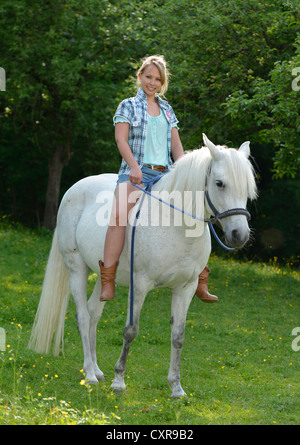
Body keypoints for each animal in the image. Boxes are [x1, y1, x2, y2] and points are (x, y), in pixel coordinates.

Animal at [28, 134, 258, 398]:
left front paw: (176, 387)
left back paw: (96, 370)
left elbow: (178, 336)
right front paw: (119, 381)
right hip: (77, 268)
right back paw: (90, 375)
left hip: (103, 276)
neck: (176, 225)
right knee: (83, 316)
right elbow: (131, 330)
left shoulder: (186, 288)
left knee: (94, 312)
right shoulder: (139, 285)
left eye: (248, 187)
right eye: (219, 183)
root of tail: (72, 190)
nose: (239, 235)